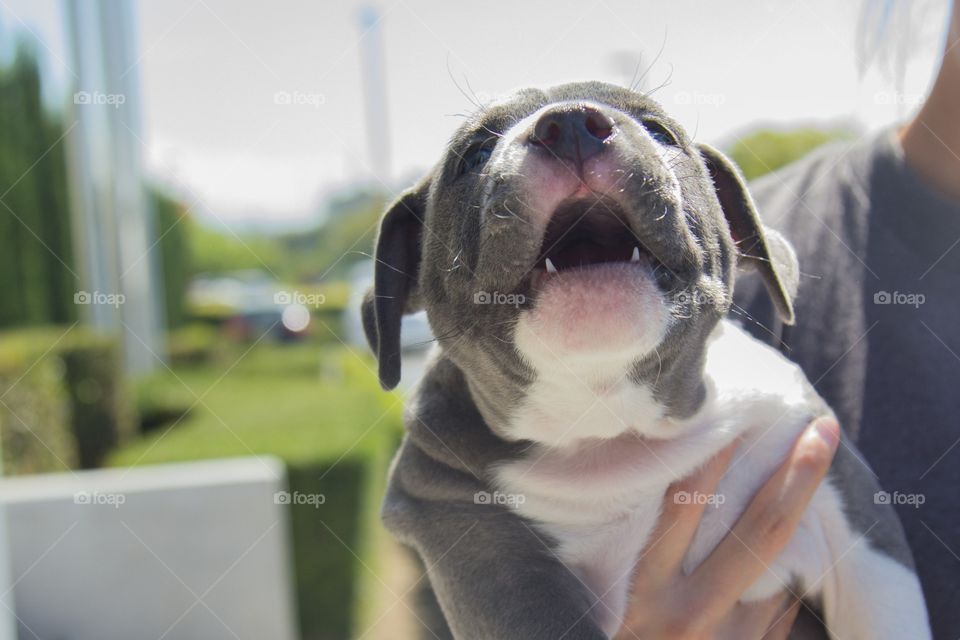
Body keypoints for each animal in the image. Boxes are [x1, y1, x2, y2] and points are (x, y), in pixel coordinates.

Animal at [362, 82, 928, 636]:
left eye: (659, 131)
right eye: (475, 153)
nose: (569, 122)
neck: (609, 421)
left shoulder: (849, 508)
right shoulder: (476, 539)